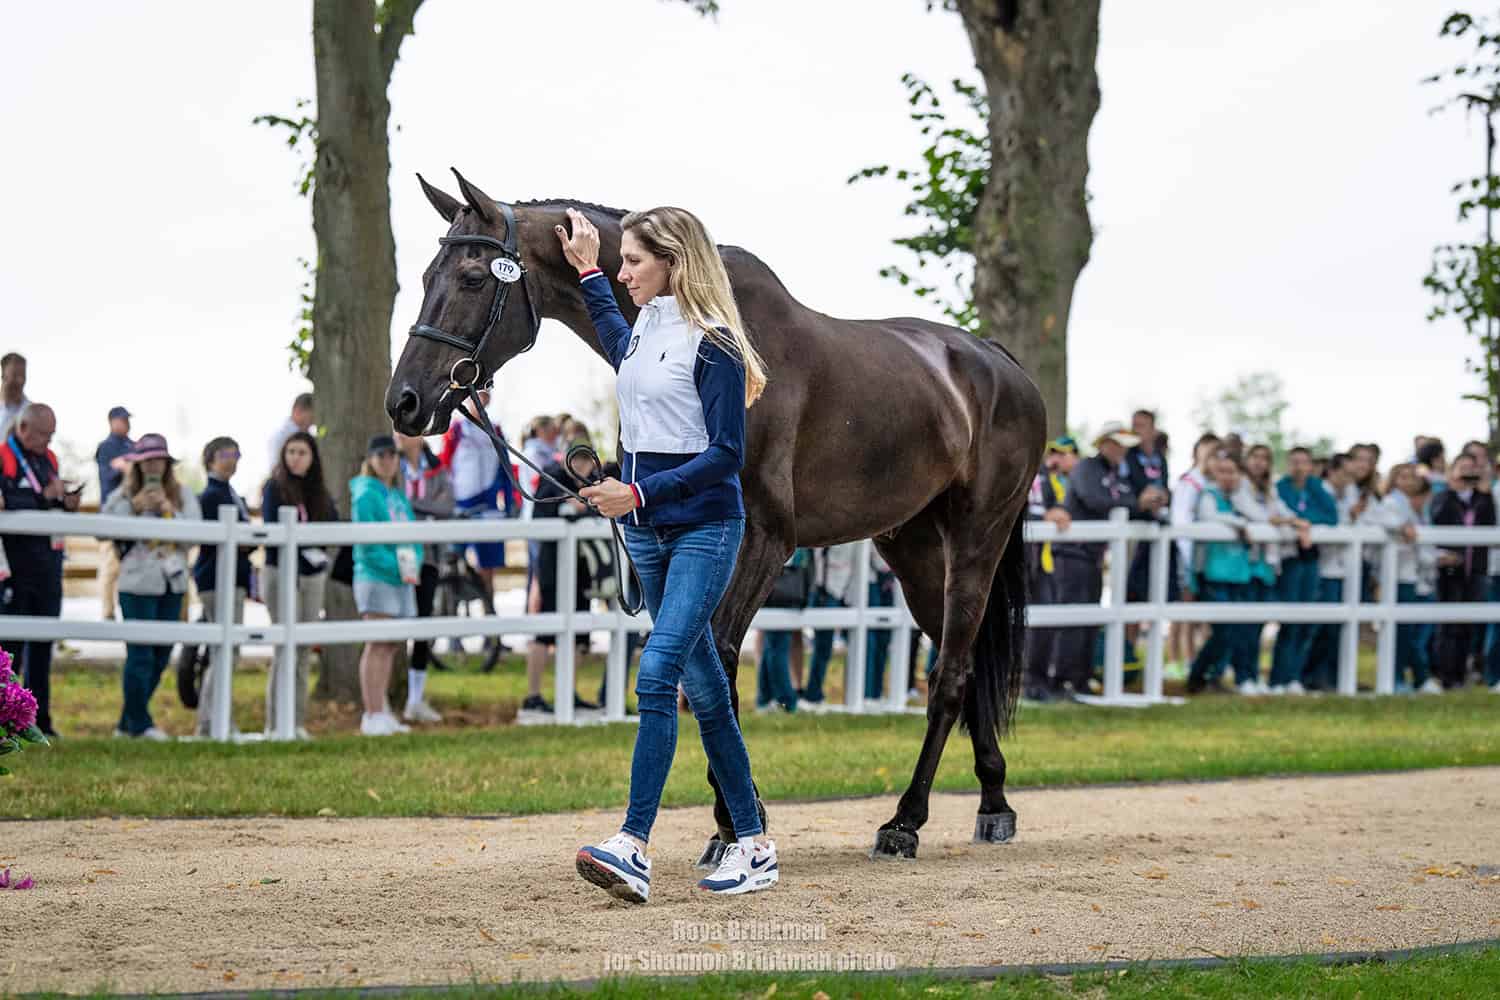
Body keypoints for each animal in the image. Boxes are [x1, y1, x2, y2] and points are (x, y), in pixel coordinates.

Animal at [387, 170, 1047, 862]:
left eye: (472, 278)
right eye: (427, 275)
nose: (405, 402)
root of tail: (997, 361)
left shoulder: (765, 538)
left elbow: (721, 664)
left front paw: (734, 819)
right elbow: (704, 668)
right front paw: (734, 813)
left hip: (976, 537)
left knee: (950, 674)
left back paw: (906, 820)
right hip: (913, 549)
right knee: (961, 659)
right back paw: (994, 801)